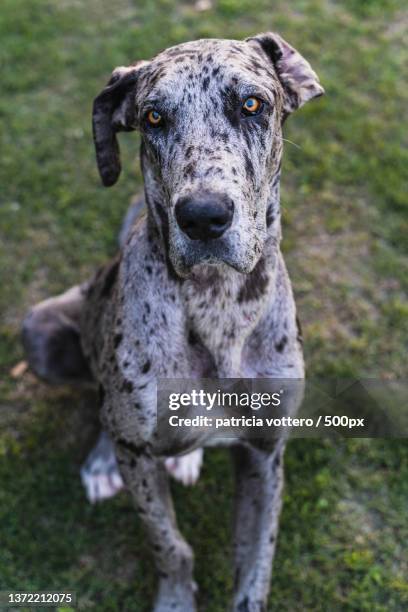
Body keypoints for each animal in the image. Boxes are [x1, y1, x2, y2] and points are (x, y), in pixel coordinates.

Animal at [23, 34, 326, 612]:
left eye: (252, 104)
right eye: (154, 117)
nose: (203, 217)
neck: (216, 301)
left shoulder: (266, 456)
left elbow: (255, 569)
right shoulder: (141, 461)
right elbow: (171, 546)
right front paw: (175, 597)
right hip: (42, 334)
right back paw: (103, 462)